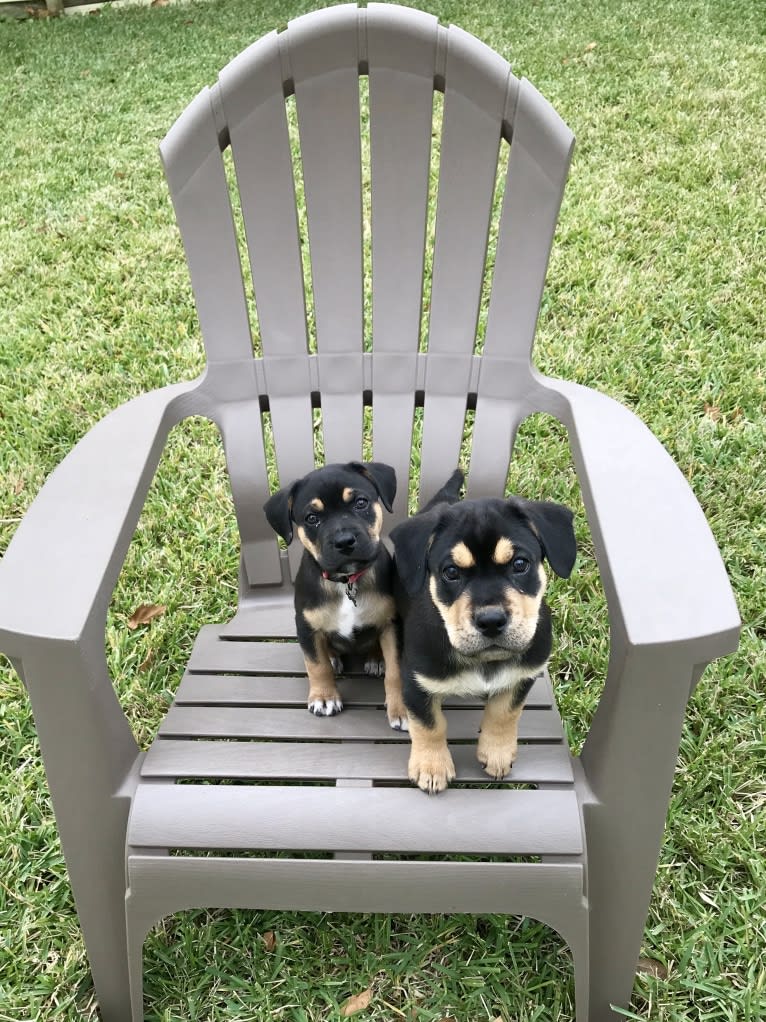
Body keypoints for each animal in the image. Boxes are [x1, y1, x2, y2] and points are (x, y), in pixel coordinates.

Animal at [263, 459, 408, 731]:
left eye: (360, 503)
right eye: (311, 518)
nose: (344, 541)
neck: (346, 581)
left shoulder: (392, 623)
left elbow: (396, 669)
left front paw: (402, 708)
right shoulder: (306, 624)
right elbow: (316, 665)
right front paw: (324, 697)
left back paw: (376, 658)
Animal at [390, 468, 576, 793]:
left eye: (520, 564)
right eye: (451, 572)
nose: (491, 620)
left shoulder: (523, 675)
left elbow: (505, 713)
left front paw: (497, 752)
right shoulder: (417, 681)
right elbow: (429, 724)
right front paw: (431, 766)